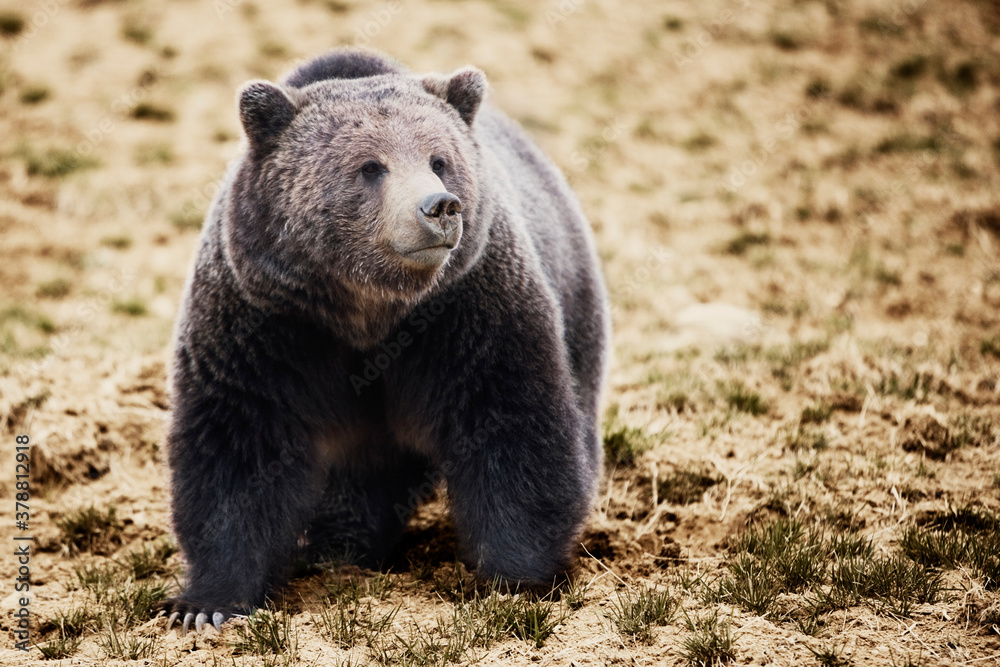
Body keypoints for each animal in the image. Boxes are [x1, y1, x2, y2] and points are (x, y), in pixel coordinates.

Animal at [160, 48, 610, 634]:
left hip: (574, 300)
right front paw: (206, 604)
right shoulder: (266, 324)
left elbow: (512, 424)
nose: (439, 206)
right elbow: (237, 444)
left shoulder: (468, 311)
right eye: (370, 166)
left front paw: (515, 578)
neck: (369, 309)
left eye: (439, 159)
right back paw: (338, 547)